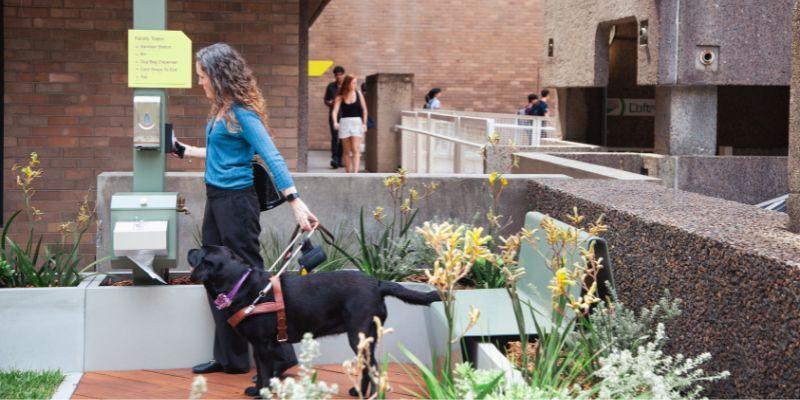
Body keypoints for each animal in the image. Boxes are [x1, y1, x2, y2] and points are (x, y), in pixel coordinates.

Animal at [188, 245, 440, 398]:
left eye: (199, 252)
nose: (191, 249)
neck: (239, 285)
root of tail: (377, 283)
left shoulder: (263, 345)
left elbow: (266, 373)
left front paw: (263, 393)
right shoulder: (259, 346)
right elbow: (260, 371)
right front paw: (256, 390)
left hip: (358, 334)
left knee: (374, 367)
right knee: (367, 367)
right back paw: (358, 392)